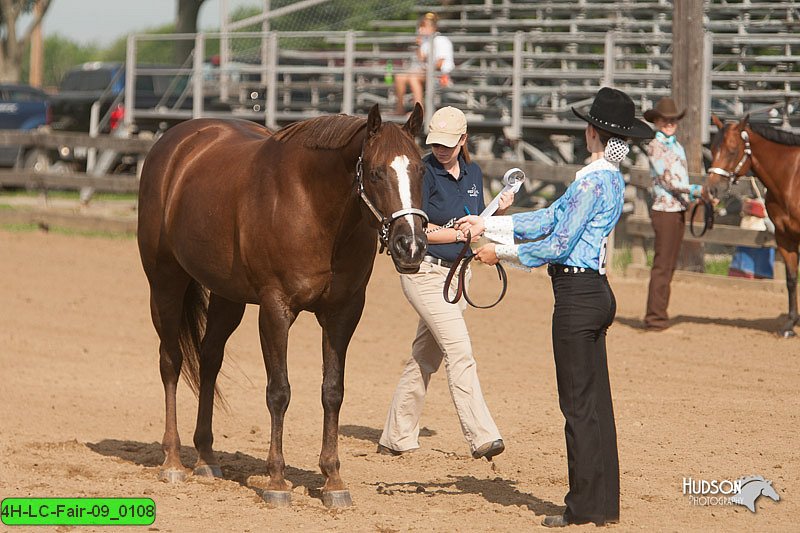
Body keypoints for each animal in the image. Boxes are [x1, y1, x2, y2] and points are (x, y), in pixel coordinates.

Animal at [138, 104, 428, 508]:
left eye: (421, 171)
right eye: (375, 172)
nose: (411, 246)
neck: (312, 205)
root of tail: (174, 144)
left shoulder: (343, 313)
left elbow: (332, 392)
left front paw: (333, 480)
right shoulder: (275, 310)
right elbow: (279, 391)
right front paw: (276, 481)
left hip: (228, 297)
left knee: (209, 360)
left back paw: (207, 458)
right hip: (165, 282)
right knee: (171, 361)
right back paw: (173, 461)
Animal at [708, 115, 800, 336]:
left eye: (733, 151)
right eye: (713, 149)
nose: (712, 189)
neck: (792, 178)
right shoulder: (785, 237)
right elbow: (791, 279)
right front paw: (790, 325)